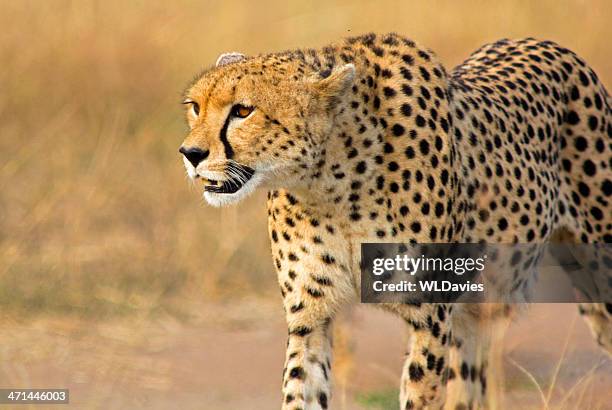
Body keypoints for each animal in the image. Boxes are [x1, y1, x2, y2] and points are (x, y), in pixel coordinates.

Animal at [179, 33, 608, 408]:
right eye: (195, 106)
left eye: (243, 110)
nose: (191, 153)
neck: (331, 182)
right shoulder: (311, 317)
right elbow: (301, 390)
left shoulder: (429, 318)